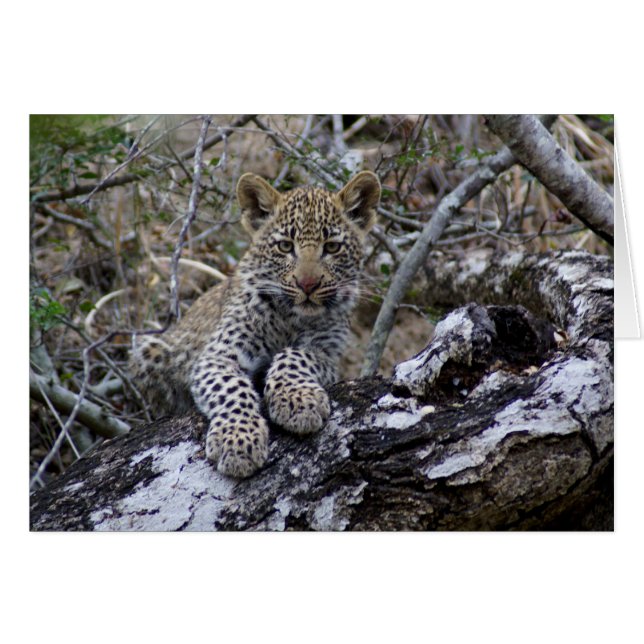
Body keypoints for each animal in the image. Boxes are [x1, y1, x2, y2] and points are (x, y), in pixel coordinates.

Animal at [129, 170, 381, 478]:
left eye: (332, 247)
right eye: (285, 246)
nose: (307, 285)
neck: (290, 318)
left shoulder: (328, 355)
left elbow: (295, 355)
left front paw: (298, 400)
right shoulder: (218, 355)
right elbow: (232, 389)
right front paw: (238, 440)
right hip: (151, 349)